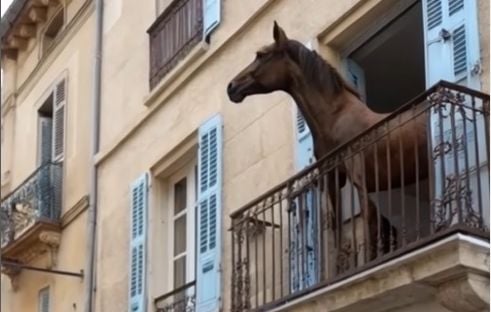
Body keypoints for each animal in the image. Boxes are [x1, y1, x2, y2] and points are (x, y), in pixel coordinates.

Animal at [226, 21, 426, 260]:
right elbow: (335, 226)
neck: (336, 117)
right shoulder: (333, 177)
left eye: (261, 55)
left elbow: (369, 220)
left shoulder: (358, 175)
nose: (231, 87)